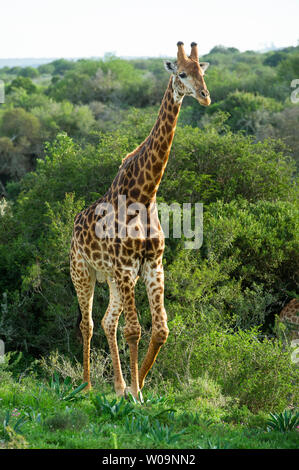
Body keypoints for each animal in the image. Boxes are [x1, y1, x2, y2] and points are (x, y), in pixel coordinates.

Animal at [70, 41, 211, 400]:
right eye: (181, 73)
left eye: (203, 72)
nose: (204, 96)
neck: (145, 193)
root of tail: (74, 224)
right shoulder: (125, 267)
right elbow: (134, 330)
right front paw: (137, 394)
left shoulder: (151, 265)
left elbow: (160, 329)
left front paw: (139, 386)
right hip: (83, 271)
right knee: (88, 323)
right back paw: (86, 386)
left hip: (115, 279)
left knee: (108, 321)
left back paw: (118, 386)